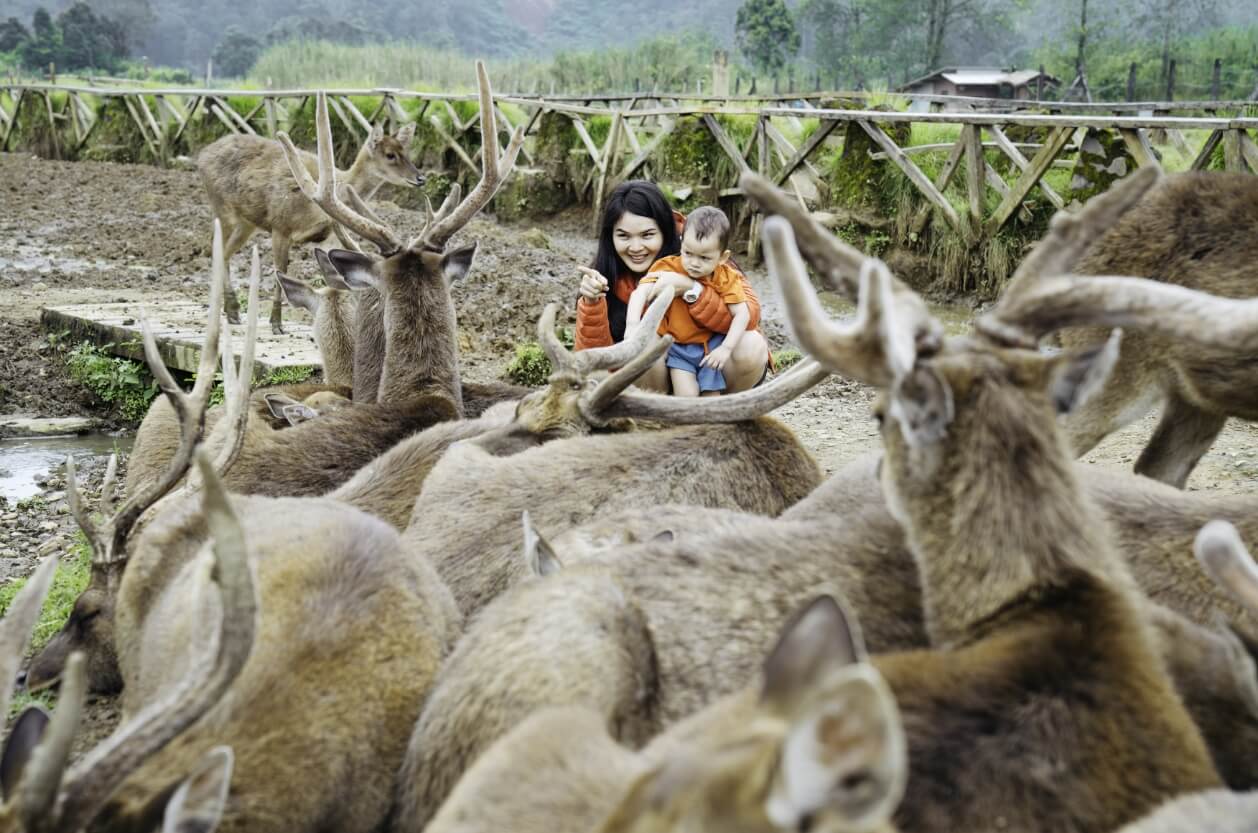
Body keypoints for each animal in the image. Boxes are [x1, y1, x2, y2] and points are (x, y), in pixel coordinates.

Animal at [197, 110, 422, 332]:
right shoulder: (280, 225)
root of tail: (202, 154)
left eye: (406, 151)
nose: (420, 178)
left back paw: (230, 311)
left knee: (225, 252)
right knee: (218, 250)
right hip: (222, 209)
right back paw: (230, 310)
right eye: (390, 155)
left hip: (247, 223)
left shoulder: (330, 236)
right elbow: (280, 272)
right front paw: (276, 323)